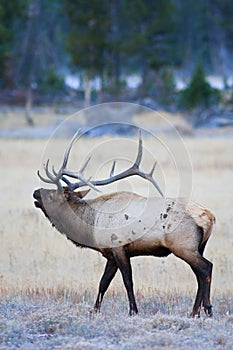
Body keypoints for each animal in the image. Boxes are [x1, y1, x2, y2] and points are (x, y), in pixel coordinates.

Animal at [32, 129, 215, 318]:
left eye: (52, 195)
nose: (36, 192)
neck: (91, 224)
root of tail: (209, 216)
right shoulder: (110, 254)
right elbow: (103, 283)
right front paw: (94, 310)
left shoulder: (119, 247)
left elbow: (128, 281)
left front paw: (133, 311)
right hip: (199, 246)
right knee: (199, 274)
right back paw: (194, 312)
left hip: (183, 246)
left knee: (206, 268)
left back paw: (207, 308)